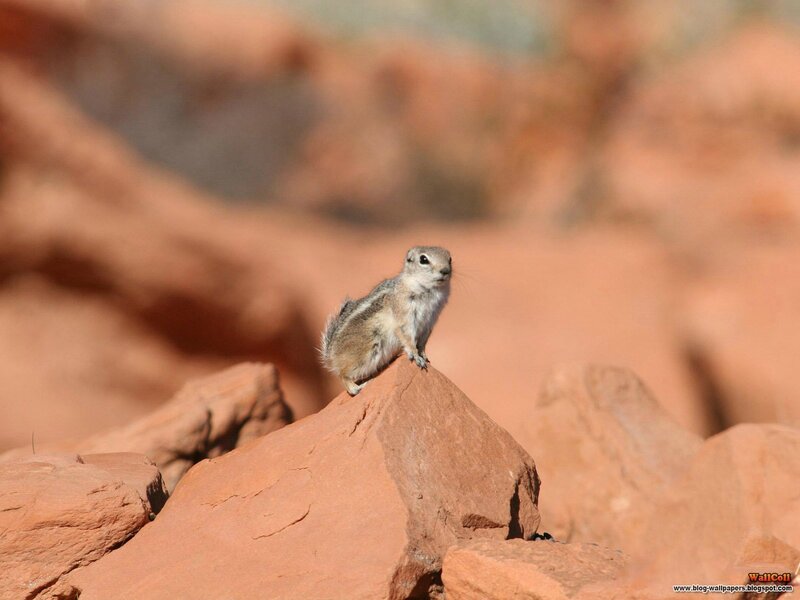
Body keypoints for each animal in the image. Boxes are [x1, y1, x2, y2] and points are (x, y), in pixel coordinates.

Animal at [320, 246, 452, 396]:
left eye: (450, 258)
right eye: (423, 259)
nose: (445, 270)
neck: (431, 291)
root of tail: (330, 353)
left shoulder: (429, 322)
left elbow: (423, 342)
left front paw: (423, 355)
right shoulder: (404, 315)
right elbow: (408, 338)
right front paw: (416, 356)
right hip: (366, 353)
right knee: (343, 375)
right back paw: (358, 387)